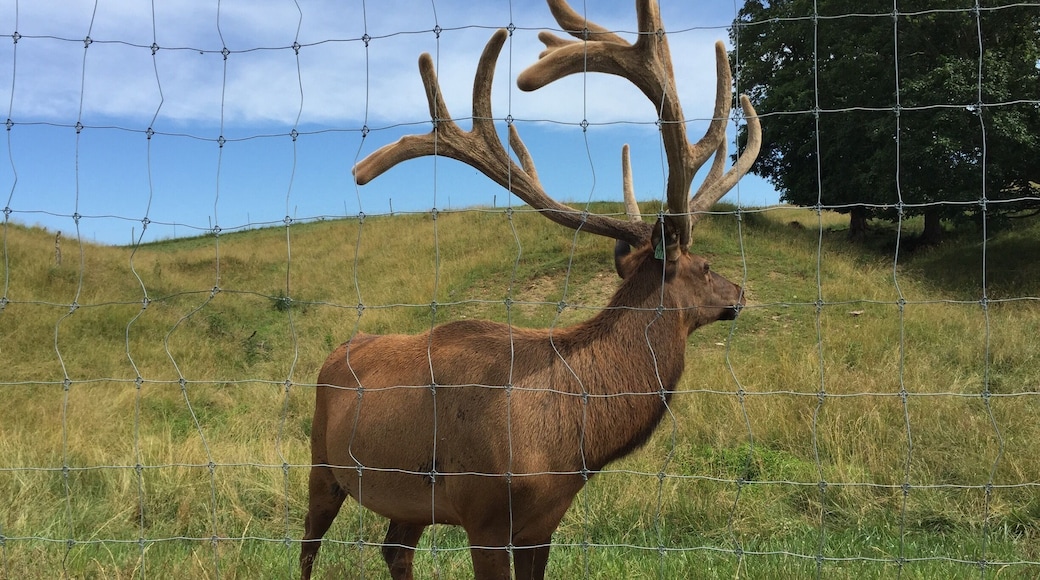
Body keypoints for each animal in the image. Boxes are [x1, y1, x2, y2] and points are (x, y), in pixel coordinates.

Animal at [300, 1, 761, 578]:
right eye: (704, 264)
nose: (740, 292)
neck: (568, 442)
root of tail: (337, 349)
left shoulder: (546, 520)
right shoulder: (484, 514)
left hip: (409, 502)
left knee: (395, 549)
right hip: (321, 461)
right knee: (308, 545)